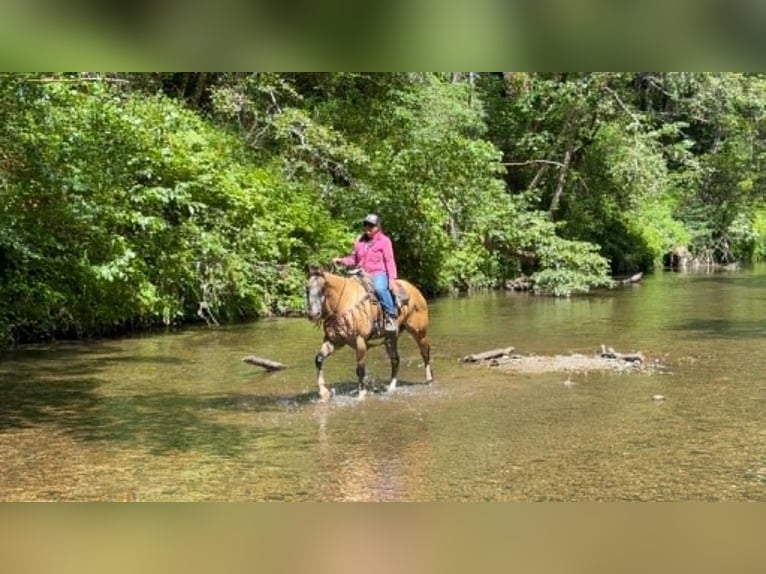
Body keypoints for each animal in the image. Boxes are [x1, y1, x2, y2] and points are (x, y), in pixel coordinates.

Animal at [305, 266, 433, 401]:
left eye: (323, 288)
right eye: (307, 288)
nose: (313, 314)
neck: (344, 301)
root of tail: (415, 290)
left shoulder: (360, 341)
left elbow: (360, 369)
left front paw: (361, 394)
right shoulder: (334, 341)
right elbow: (319, 359)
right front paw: (324, 393)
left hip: (419, 332)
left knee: (425, 351)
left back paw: (429, 379)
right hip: (391, 338)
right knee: (395, 359)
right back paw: (391, 387)